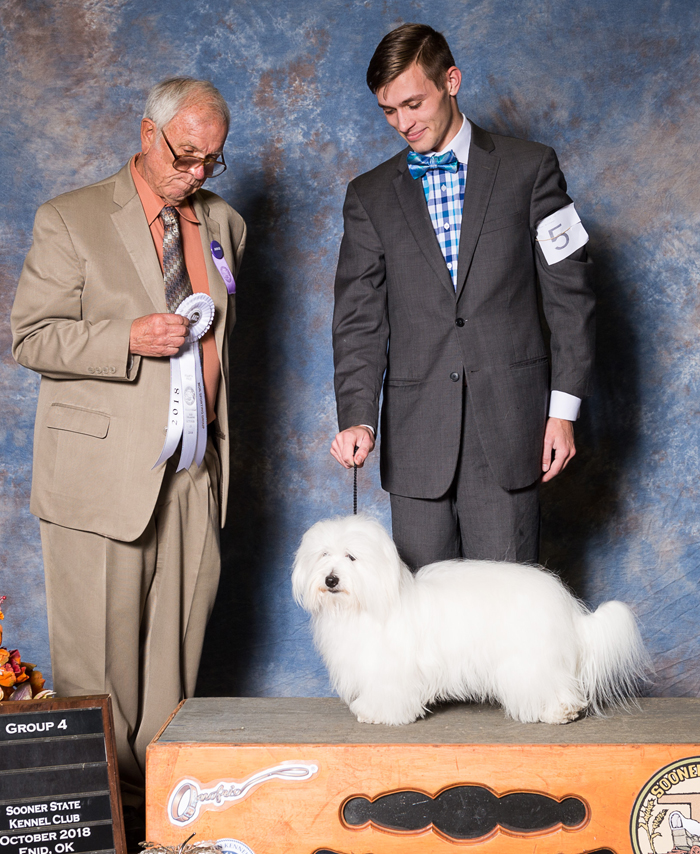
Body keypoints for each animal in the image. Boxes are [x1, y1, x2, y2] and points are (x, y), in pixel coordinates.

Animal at [292, 516, 652, 728]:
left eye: (351, 557)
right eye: (323, 555)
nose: (331, 579)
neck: (369, 600)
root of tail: (566, 606)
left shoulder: (390, 668)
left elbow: (387, 693)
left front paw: (377, 714)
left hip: (530, 660)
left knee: (551, 686)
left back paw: (557, 712)